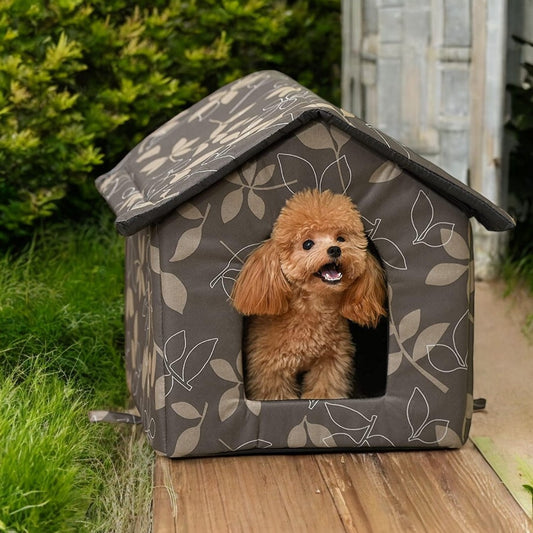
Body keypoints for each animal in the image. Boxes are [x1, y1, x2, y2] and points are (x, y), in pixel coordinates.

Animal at [231, 188, 384, 400]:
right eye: (308, 244)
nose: (335, 249)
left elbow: (324, 391)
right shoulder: (270, 370)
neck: (313, 309)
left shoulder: (331, 361)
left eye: (341, 238)